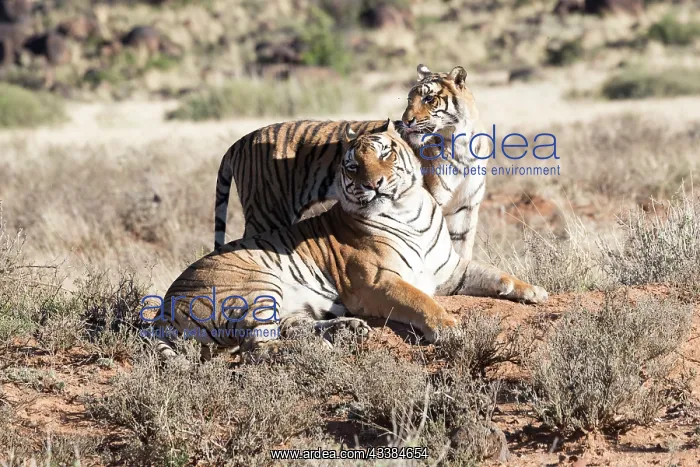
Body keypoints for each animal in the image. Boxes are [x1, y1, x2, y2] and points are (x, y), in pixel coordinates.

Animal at [156, 122, 547, 358]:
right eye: (352, 166)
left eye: (385, 153)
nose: (373, 184)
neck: (410, 211)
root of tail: (164, 304)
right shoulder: (378, 282)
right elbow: (421, 301)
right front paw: (448, 329)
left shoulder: (450, 270)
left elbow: (494, 273)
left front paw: (534, 291)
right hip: (258, 283)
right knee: (258, 346)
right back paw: (326, 349)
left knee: (289, 328)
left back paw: (349, 329)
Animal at [214, 64, 489, 265]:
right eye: (409, 100)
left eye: (430, 99)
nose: (406, 120)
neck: (459, 143)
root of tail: (240, 141)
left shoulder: (465, 206)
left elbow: (461, 247)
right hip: (267, 212)